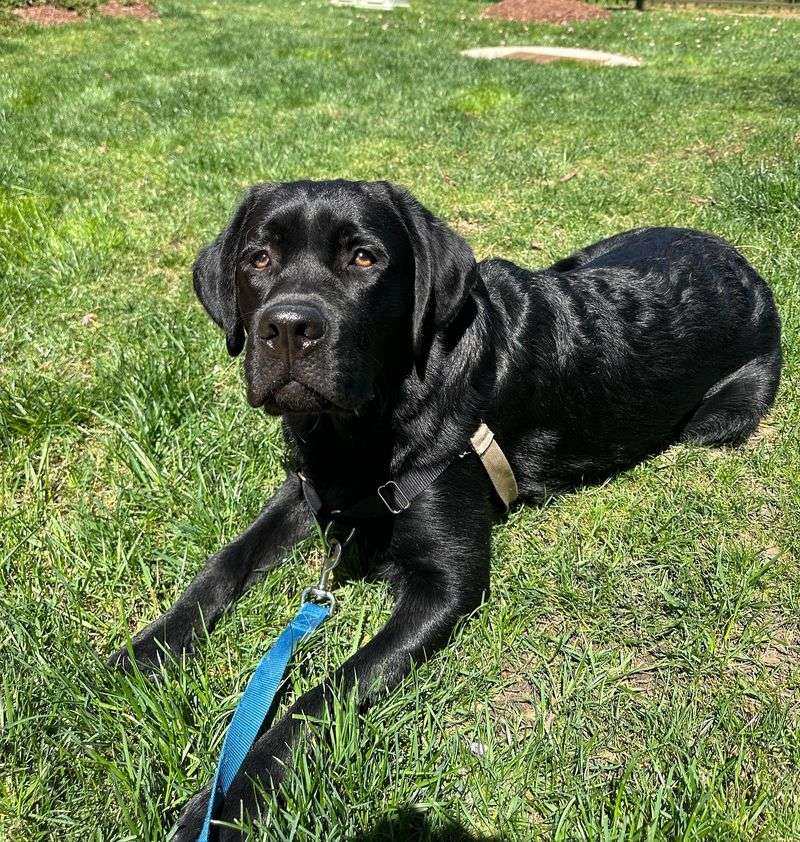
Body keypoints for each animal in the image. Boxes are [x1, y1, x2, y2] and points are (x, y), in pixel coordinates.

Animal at [108, 180, 780, 836]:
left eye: (364, 258)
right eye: (258, 259)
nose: (289, 327)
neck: (364, 432)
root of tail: (738, 258)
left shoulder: (446, 584)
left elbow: (324, 695)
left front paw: (229, 800)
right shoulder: (310, 487)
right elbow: (227, 560)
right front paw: (144, 652)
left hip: (720, 419)